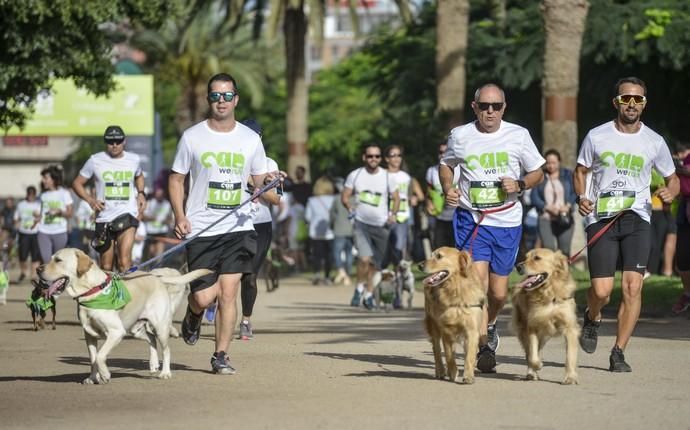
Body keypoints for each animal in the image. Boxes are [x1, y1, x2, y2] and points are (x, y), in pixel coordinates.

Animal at [37, 247, 208, 384]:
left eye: (58, 260)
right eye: (51, 258)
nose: (38, 269)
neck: (92, 291)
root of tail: (154, 276)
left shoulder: (116, 332)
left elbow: (100, 356)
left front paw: (105, 375)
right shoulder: (89, 335)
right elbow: (93, 359)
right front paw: (92, 378)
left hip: (159, 327)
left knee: (166, 349)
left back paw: (165, 372)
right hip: (134, 329)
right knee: (151, 339)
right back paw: (153, 364)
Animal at [420, 247, 484, 384]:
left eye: (439, 256)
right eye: (431, 255)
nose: (419, 265)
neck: (455, 290)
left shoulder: (472, 330)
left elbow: (469, 355)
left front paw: (468, 376)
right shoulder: (446, 330)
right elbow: (449, 355)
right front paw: (453, 372)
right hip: (433, 324)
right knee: (436, 349)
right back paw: (440, 371)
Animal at [510, 247, 580, 384]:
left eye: (537, 258)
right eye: (526, 257)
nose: (518, 266)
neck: (548, 294)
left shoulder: (569, 328)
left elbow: (570, 356)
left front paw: (570, 377)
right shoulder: (532, 326)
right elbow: (532, 355)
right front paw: (537, 366)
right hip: (524, 329)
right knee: (529, 352)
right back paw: (531, 372)